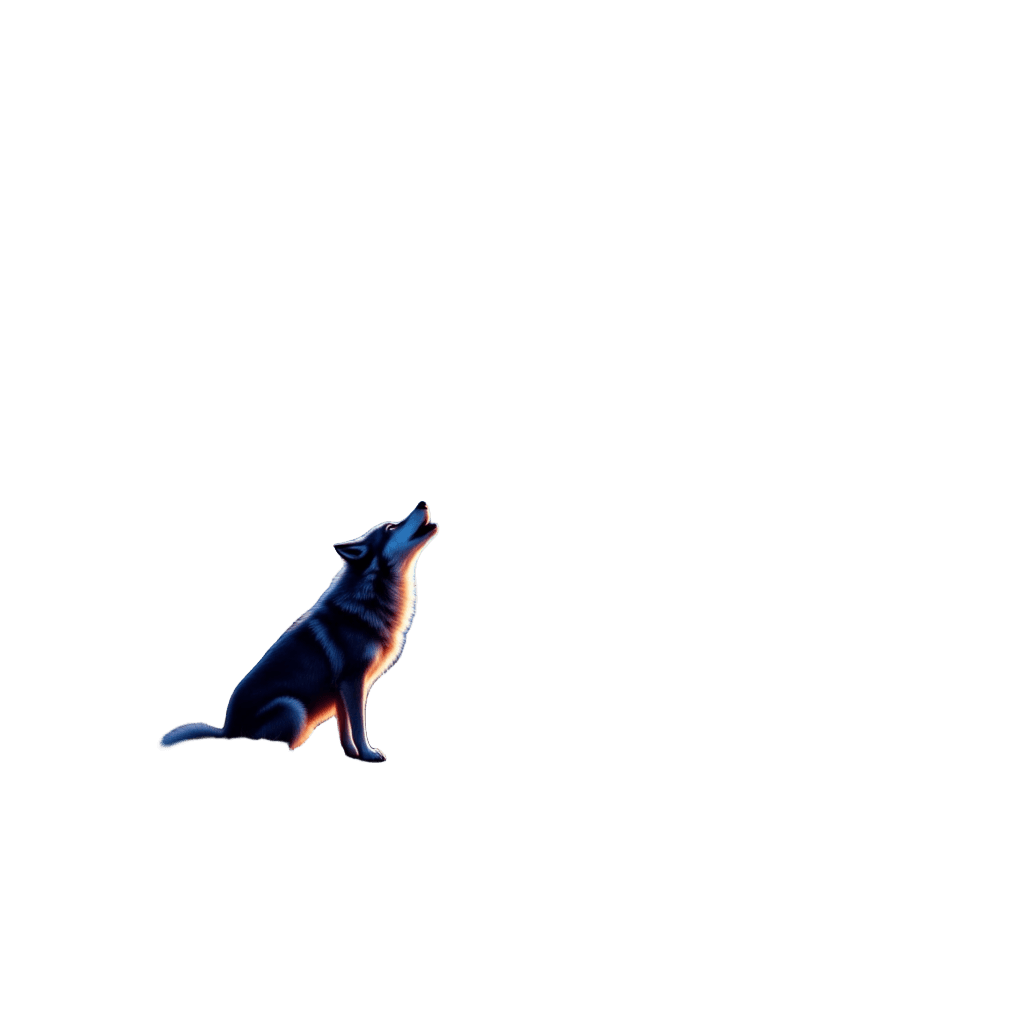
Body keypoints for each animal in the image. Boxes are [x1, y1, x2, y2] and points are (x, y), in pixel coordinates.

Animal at [158, 501, 439, 762]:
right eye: (391, 527)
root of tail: (227, 730)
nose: (422, 503)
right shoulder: (353, 683)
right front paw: (368, 754)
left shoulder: (342, 691)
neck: (370, 600)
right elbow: (359, 727)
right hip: (294, 709)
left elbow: (345, 729)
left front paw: (351, 753)